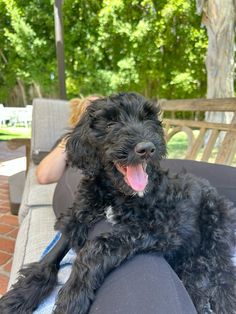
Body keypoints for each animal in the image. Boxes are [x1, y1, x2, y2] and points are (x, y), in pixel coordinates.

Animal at [0, 92, 236, 312]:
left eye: (147, 119)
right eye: (111, 123)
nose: (147, 148)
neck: (114, 194)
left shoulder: (160, 228)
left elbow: (98, 246)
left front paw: (73, 295)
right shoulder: (78, 214)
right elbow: (51, 256)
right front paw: (19, 296)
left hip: (216, 226)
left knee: (223, 272)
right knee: (199, 271)